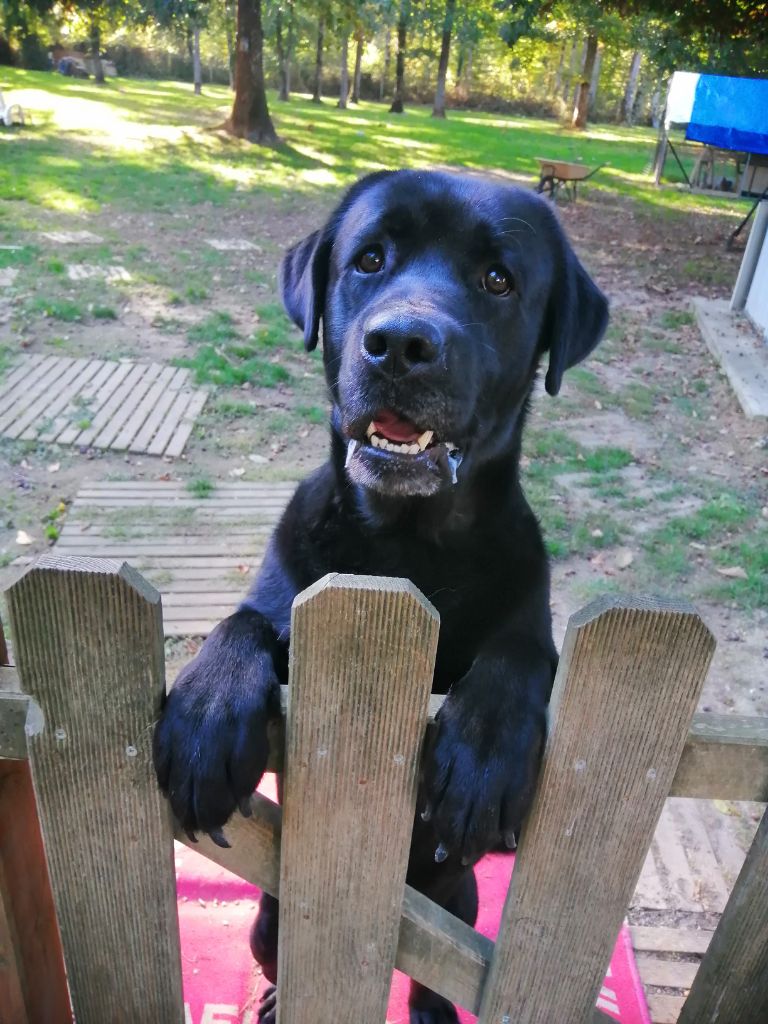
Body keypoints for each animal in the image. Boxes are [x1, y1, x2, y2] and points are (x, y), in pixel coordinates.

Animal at [153, 169, 610, 1024]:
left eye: (497, 279)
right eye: (369, 259)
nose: (401, 343)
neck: (406, 546)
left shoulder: (530, 625)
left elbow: (520, 653)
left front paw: (483, 751)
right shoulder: (282, 593)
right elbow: (241, 624)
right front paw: (205, 715)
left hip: (461, 901)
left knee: (434, 973)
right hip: (269, 919)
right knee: (281, 960)